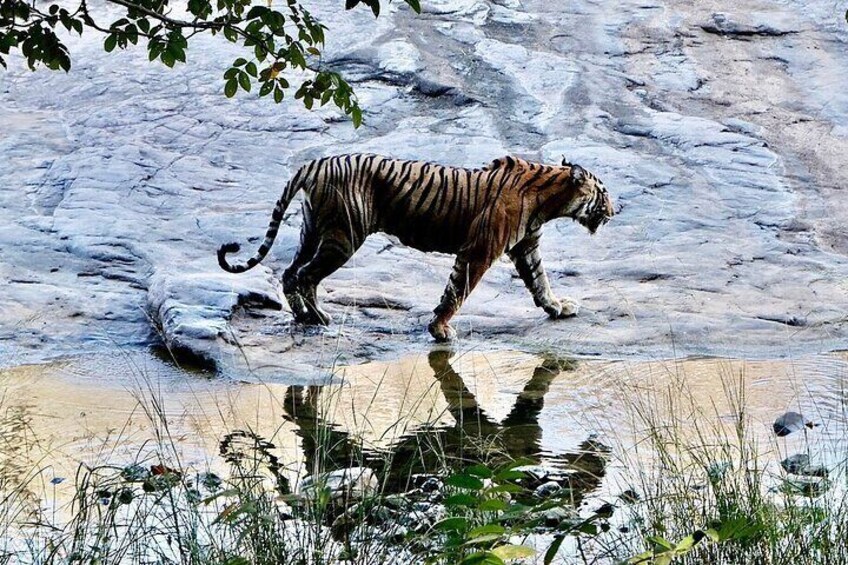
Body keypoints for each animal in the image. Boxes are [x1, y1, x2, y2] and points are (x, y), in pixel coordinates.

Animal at [217, 152, 616, 342]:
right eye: (604, 193)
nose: (615, 210)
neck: (549, 199)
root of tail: (314, 164)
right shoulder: (479, 251)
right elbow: (457, 291)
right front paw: (440, 330)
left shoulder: (526, 247)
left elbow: (540, 281)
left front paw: (558, 308)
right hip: (342, 237)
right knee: (306, 276)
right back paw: (317, 317)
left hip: (312, 230)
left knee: (289, 272)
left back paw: (302, 316)